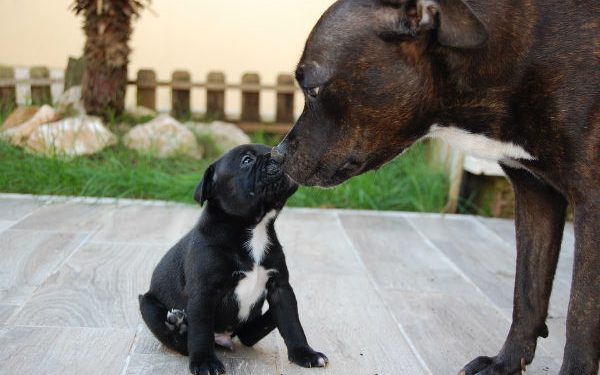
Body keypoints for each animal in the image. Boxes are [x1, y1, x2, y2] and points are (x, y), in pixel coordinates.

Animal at [138, 145, 326, 375]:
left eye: (271, 148)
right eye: (246, 160)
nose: (278, 153)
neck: (253, 228)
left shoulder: (280, 287)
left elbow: (292, 323)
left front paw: (305, 353)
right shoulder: (203, 292)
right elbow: (200, 332)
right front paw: (205, 362)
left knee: (250, 334)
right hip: (147, 304)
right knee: (179, 341)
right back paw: (178, 325)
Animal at [274, 0, 600, 375]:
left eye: (312, 89)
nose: (277, 154)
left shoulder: (592, 206)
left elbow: (581, 314)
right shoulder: (535, 195)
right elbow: (527, 292)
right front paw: (504, 362)